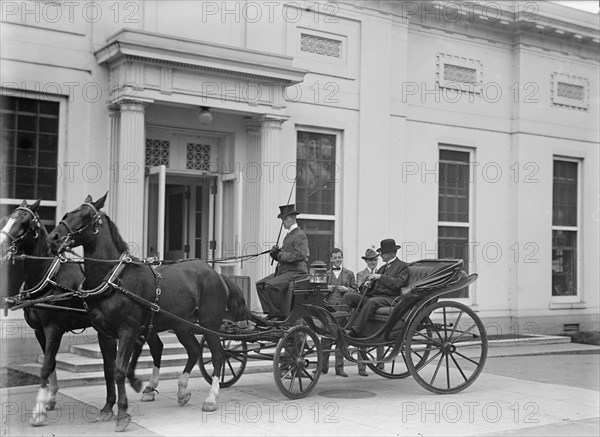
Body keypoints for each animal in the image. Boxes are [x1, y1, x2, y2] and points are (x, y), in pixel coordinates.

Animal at [0, 202, 143, 426]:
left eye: (23, 222)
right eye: (6, 219)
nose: (1, 244)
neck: (49, 277)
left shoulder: (54, 328)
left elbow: (46, 365)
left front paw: (38, 410)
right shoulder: (39, 331)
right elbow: (50, 364)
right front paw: (49, 399)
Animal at [46, 192, 248, 430]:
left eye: (85, 216)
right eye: (68, 213)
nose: (53, 238)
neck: (114, 278)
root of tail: (216, 273)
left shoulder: (128, 329)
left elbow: (120, 370)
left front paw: (123, 413)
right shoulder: (104, 333)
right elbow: (108, 370)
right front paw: (107, 409)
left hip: (210, 324)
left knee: (218, 355)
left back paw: (211, 397)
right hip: (182, 324)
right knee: (194, 350)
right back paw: (181, 390)